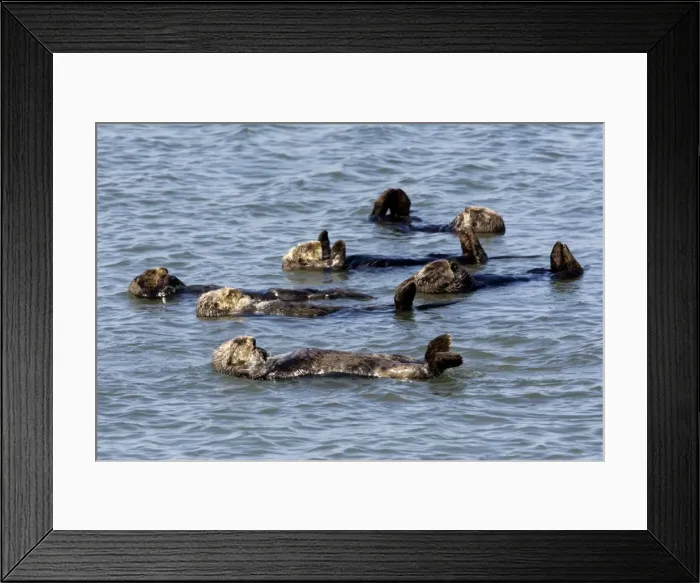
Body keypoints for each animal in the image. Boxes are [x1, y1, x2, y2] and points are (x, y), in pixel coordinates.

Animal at [368, 189, 506, 234]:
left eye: (476, 211)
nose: (466, 208)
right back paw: (399, 196)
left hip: (380, 218)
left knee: (378, 213)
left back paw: (395, 194)